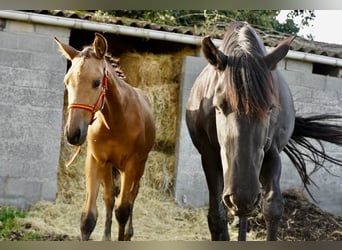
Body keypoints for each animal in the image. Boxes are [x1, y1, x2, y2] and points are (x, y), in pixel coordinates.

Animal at [54, 33, 156, 240]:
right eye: (66, 81)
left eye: (96, 82)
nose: (73, 133)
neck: (116, 122)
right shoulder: (97, 160)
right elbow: (89, 218)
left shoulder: (131, 165)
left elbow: (123, 210)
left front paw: (123, 235)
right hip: (111, 167)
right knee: (110, 198)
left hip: (138, 166)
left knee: (132, 196)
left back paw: (129, 233)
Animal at [186, 22, 342, 241]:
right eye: (217, 107)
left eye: (270, 108)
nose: (242, 196)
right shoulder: (208, 156)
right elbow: (217, 217)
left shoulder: (271, 153)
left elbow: (273, 207)